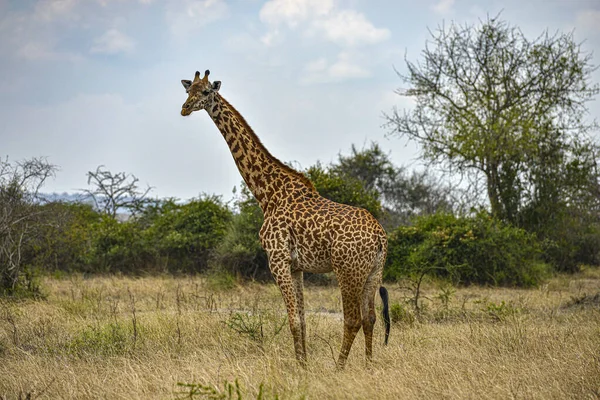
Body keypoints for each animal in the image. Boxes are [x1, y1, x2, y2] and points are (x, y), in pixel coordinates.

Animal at [180, 69, 392, 368]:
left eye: (206, 92)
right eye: (189, 90)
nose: (185, 108)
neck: (268, 194)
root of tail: (379, 236)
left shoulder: (277, 259)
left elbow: (292, 319)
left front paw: (301, 366)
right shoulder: (296, 266)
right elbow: (302, 320)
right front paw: (304, 363)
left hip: (347, 270)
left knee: (352, 319)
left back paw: (339, 367)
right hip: (374, 271)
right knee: (371, 318)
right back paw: (368, 365)